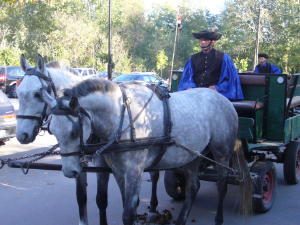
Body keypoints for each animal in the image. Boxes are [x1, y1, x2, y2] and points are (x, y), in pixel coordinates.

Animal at [41, 78, 253, 225]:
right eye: (52, 130)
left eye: (74, 131)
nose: (70, 172)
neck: (121, 116)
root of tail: (226, 101)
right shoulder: (117, 170)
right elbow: (121, 204)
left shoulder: (134, 170)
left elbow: (128, 213)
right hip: (193, 154)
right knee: (193, 187)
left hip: (222, 153)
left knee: (222, 186)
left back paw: (218, 218)